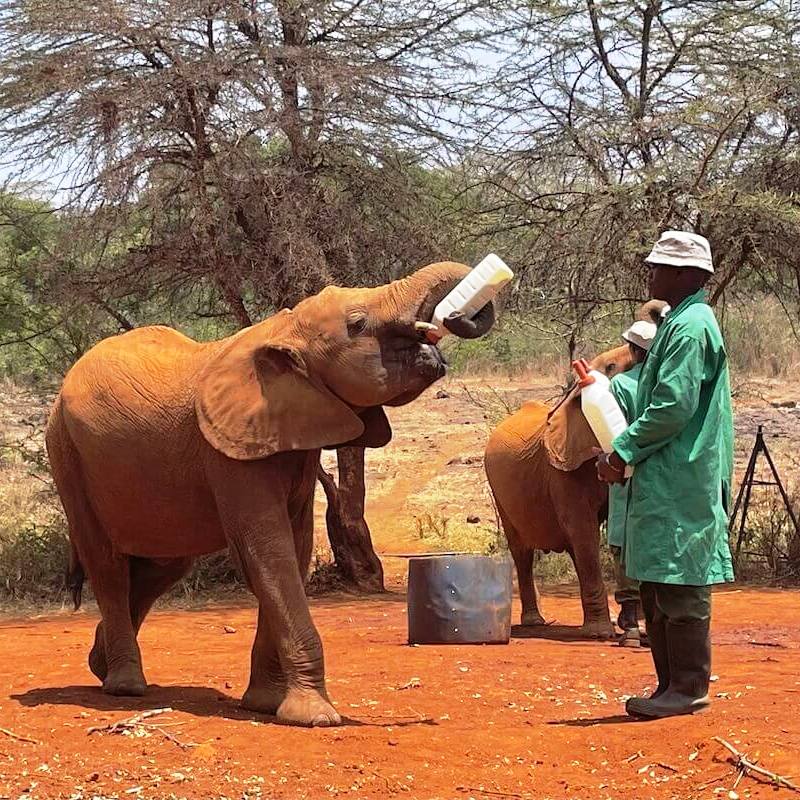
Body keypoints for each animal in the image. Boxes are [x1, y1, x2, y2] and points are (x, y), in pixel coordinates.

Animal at [47, 260, 496, 724]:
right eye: (356, 324)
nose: (451, 317)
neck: (283, 329)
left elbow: (293, 551)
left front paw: (265, 704)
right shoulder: (229, 452)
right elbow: (268, 552)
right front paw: (315, 718)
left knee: (165, 564)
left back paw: (99, 663)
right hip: (66, 453)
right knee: (107, 563)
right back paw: (125, 686)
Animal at [484, 300, 664, 636]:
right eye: (610, 367)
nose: (658, 311)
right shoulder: (562, 473)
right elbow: (583, 528)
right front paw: (601, 633)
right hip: (499, 491)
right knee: (522, 550)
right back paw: (535, 622)